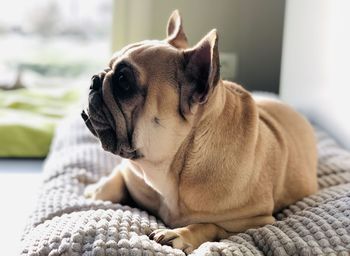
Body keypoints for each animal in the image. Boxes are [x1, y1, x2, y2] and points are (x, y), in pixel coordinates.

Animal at [80, 10, 318, 254]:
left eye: (123, 82)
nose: (94, 80)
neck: (169, 168)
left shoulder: (256, 221)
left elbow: (208, 225)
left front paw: (178, 234)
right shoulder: (131, 171)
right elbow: (117, 176)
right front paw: (97, 189)